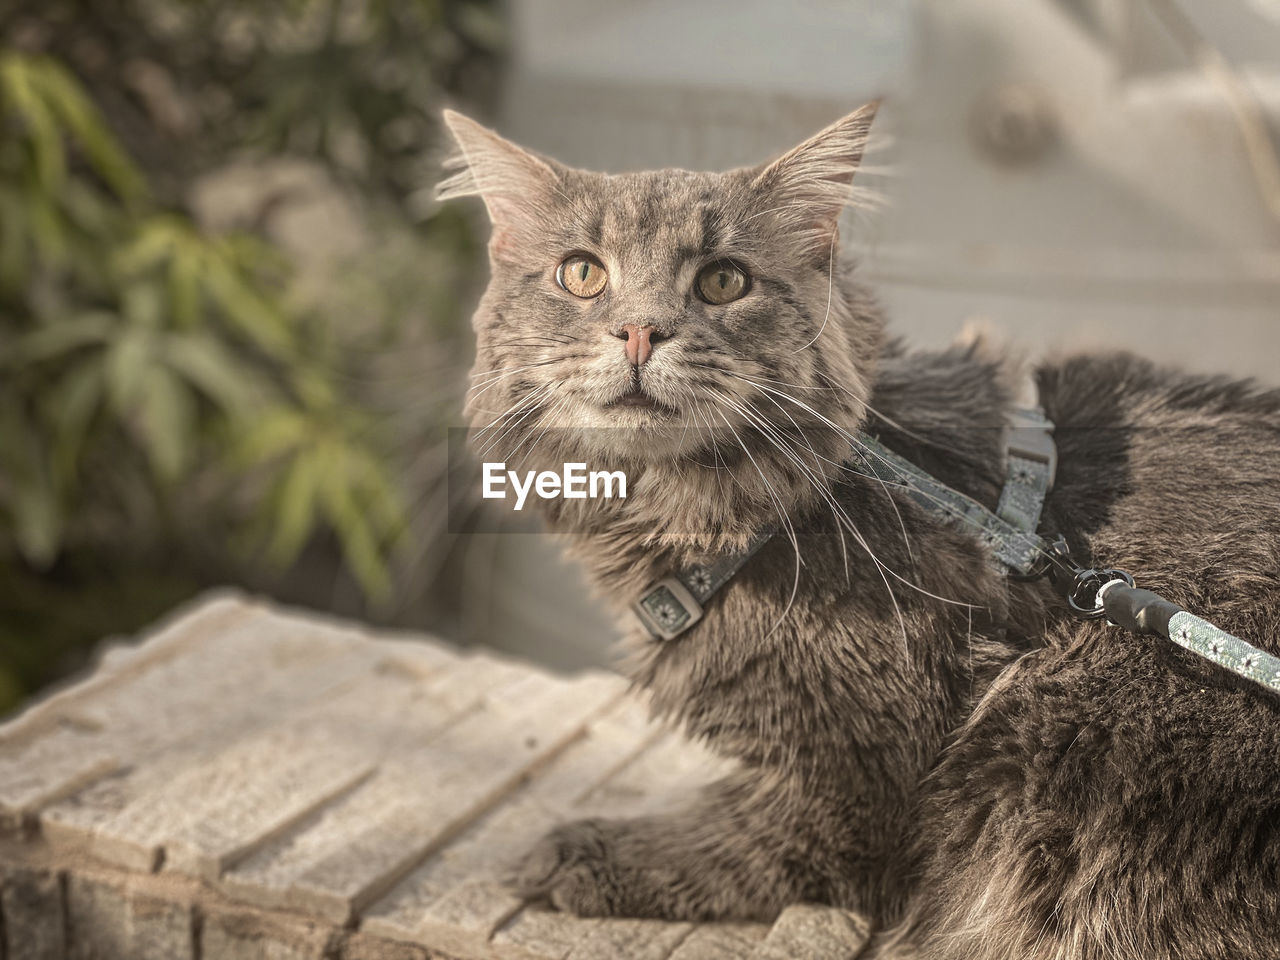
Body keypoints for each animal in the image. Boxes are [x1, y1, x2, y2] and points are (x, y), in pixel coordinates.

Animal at [437, 104, 1280, 960]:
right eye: (582, 274)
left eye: (723, 280)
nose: (640, 332)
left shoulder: (859, 782)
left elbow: (738, 844)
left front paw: (579, 852)